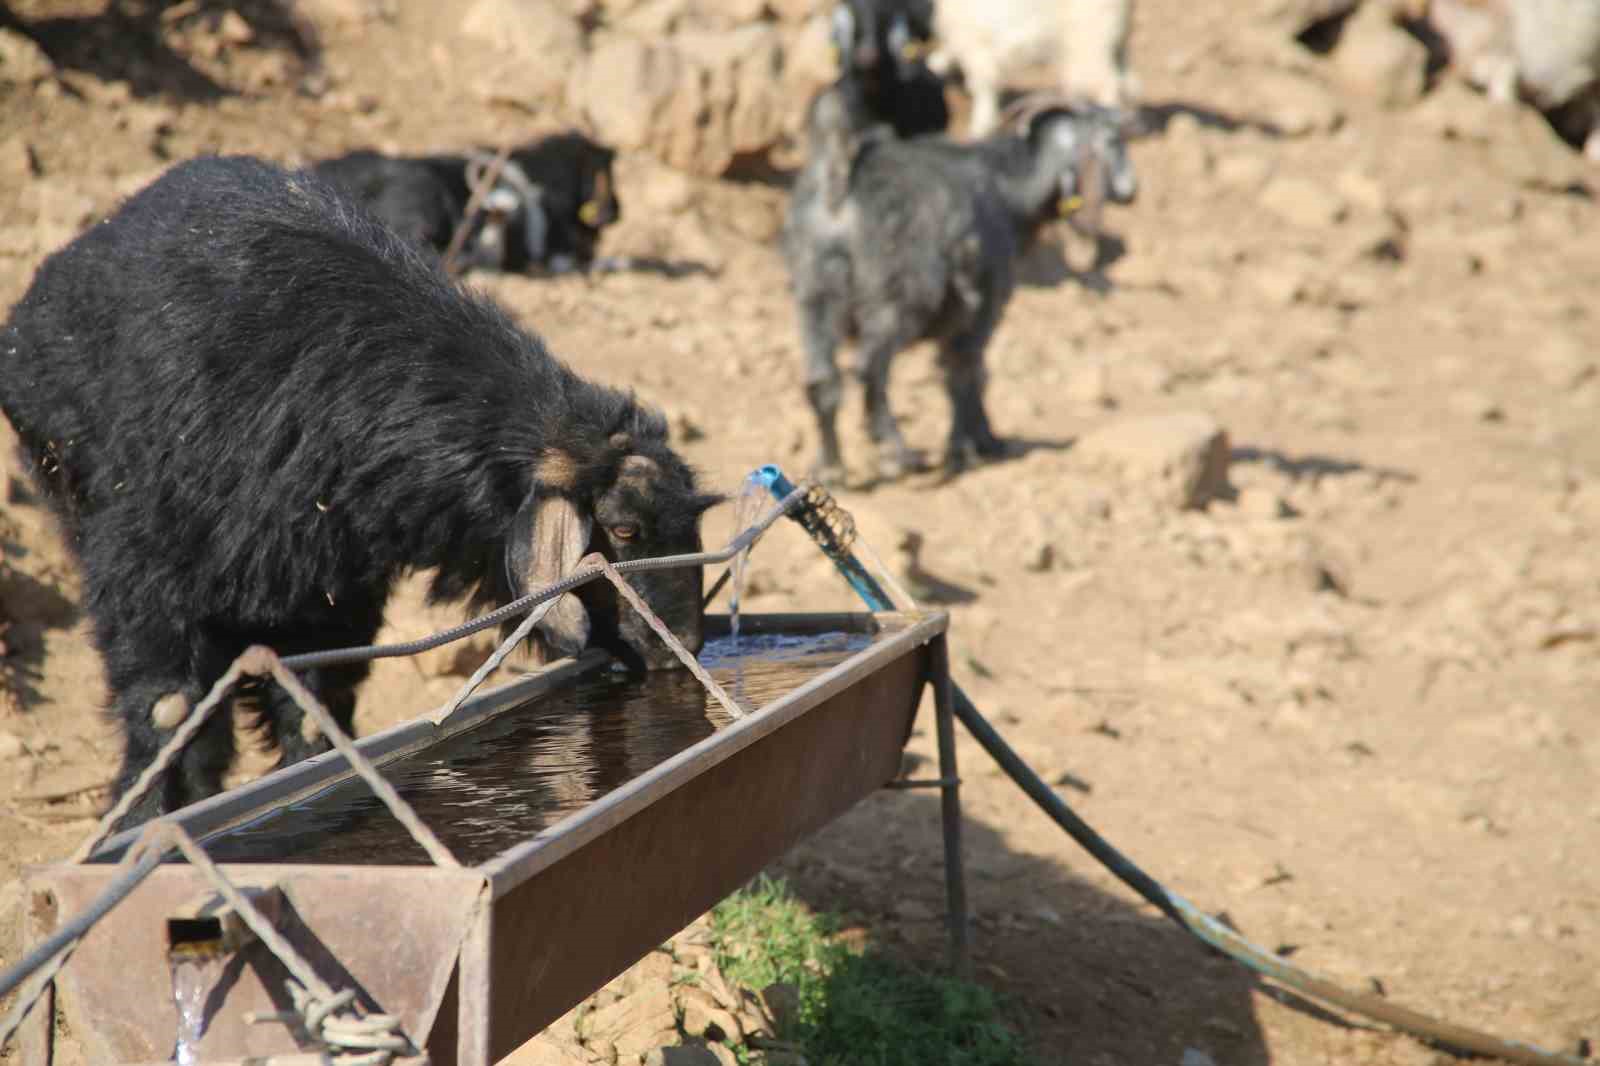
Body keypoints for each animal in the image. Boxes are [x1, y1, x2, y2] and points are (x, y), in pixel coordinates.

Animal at [0, 153, 716, 825]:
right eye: (623, 529)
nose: (684, 649)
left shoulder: (331, 591)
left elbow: (313, 705)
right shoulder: (146, 569)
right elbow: (166, 708)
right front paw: (142, 819)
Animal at [777, 84, 1139, 480]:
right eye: (1113, 139)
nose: (1129, 191)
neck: (1006, 187)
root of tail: (840, 185)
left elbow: (954, 369)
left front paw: (980, 440)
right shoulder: (987, 301)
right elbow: (968, 369)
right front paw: (971, 446)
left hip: (813, 292)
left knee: (822, 379)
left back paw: (830, 466)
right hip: (895, 298)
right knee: (870, 369)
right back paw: (896, 453)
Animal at [928, 0, 1139, 136]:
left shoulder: (976, 45)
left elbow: (983, 85)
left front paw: (981, 126)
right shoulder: (965, 39)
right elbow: (951, 50)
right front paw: (936, 63)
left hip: (1088, 42)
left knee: (1107, 84)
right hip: (1114, 41)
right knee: (1123, 77)